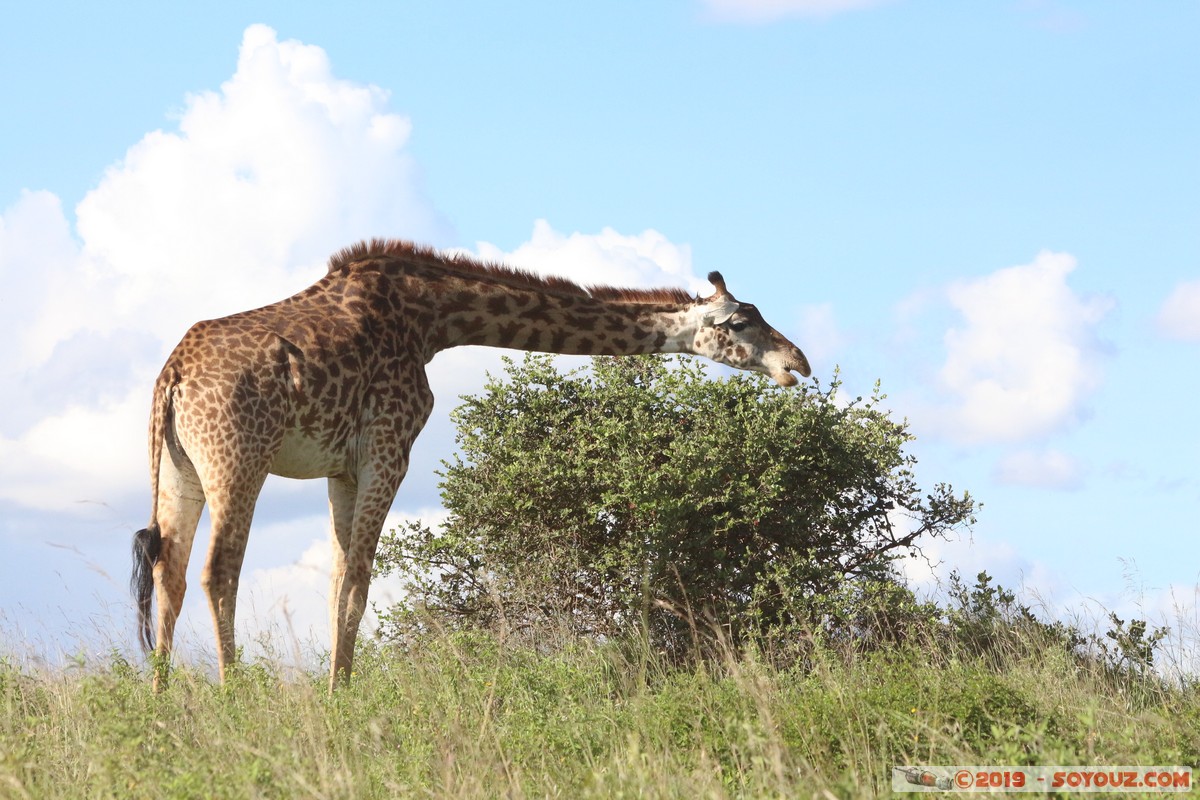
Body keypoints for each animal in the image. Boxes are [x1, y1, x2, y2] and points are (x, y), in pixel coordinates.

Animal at [131, 237, 811, 690]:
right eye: (741, 322)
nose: (798, 363)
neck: (433, 319)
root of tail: (172, 377)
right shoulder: (389, 446)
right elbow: (358, 583)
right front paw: (340, 701)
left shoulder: (341, 465)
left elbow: (336, 580)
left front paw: (336, 692)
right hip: (239, 459)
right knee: (218, 571)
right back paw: (233, 696)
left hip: (181, 469)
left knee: (169, 571)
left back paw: (164, 703)